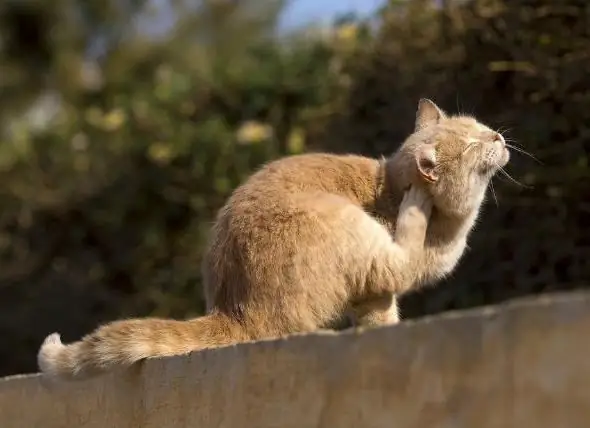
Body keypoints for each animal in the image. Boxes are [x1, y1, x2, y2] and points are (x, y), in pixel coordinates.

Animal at [38, 99, 508, 382]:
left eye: (482, 127)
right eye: (471, 143)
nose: (499, 136)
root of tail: (233, 311)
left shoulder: (368, 296)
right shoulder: (379, 288)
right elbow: (384, 316)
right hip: (353, 230)